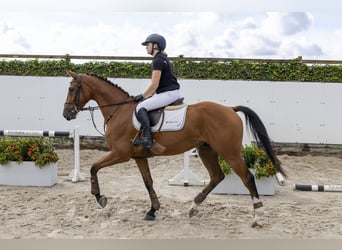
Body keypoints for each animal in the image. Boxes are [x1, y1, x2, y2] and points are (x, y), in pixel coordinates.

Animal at [62, 70, 286, 229]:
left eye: (72, 89)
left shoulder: (121, 154)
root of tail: (230, 109)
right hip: (207, 150)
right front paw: (153, 210)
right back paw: (193, 207)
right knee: (217, 176)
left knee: (247, 177)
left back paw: (258, 217)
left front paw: (100, 198)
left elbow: (93, 167)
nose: (66, 114)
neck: (119, 111)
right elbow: (148, 182)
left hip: (229, 152)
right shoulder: (138, 157)